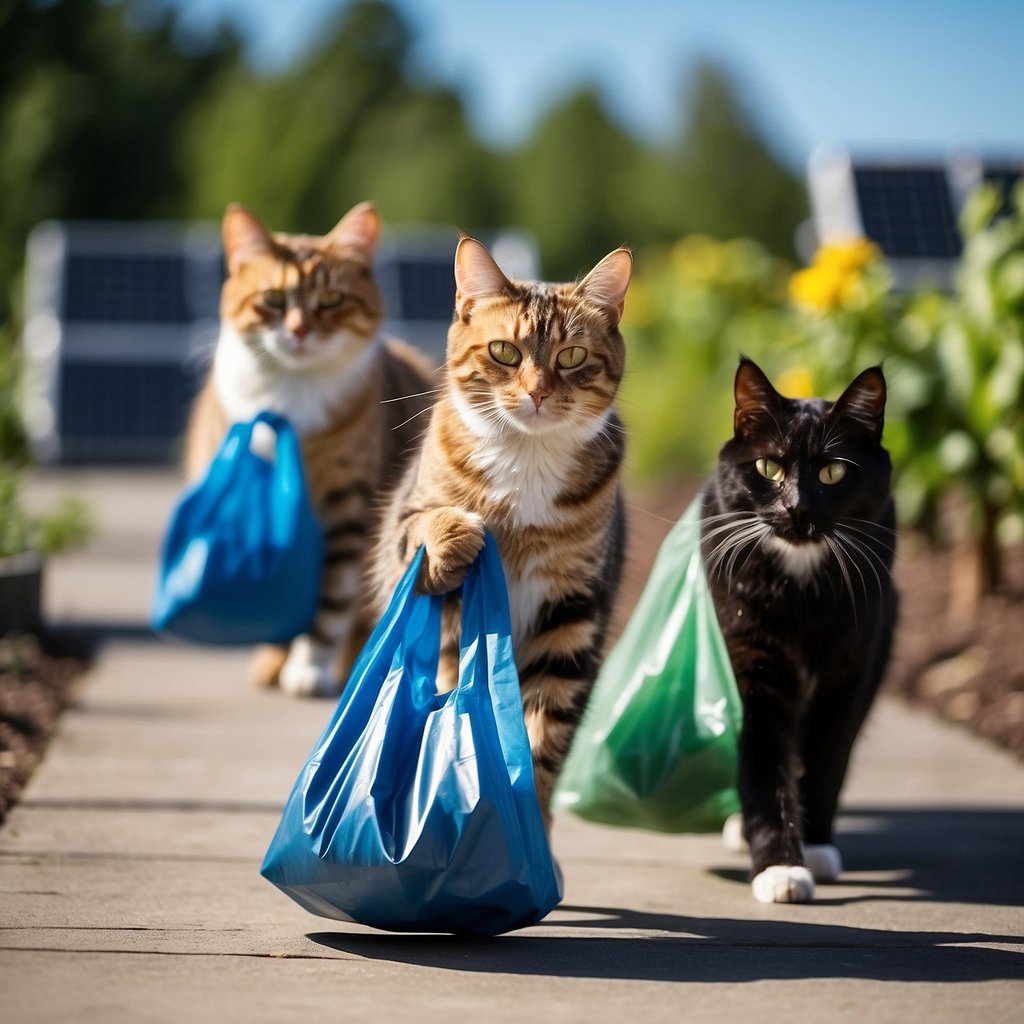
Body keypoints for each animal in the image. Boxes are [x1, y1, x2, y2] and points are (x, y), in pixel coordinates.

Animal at [186, 199, 434, 696]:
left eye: (331, 300)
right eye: (274, 299)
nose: (300, 331)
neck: (291, 392)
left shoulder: (349, 505)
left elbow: (332, 597)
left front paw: (309, 667)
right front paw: (279, 660)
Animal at [368, 235, 630, 827]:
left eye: (572, 356)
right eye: (505, 352)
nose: (537, 393)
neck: (525, 459)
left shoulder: (573, 610)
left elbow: (543, 735)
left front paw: (528, 815)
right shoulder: (404, 528)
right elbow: (426, 524)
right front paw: (459, 536)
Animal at [700, 360, 901, 905]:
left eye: (833, 472)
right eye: (768, 468)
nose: (797, 509)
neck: (800, 580)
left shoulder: (853, 667)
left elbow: (829, 758)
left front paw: (814, 847)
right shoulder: (748, 658)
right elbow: (763, 760)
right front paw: (780, 869)